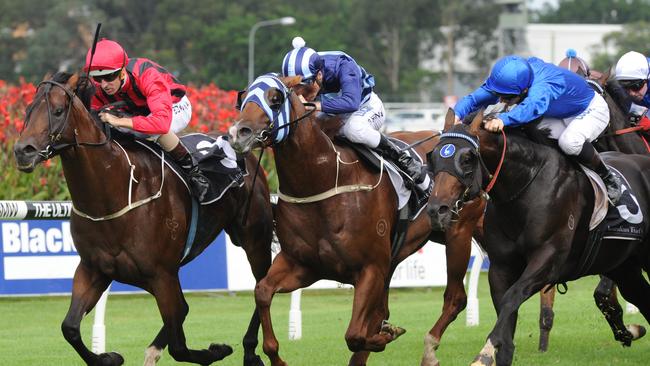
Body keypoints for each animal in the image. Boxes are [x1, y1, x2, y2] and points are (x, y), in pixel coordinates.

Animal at [13, 72, 270, 366]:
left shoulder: (162, 275)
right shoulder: (93, 269)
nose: (23, 150)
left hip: (254, 237)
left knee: (261, 285)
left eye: (57, 111)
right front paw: (109, 357)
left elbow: (179, 346)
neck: (113, 194)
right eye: (27, 110)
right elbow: (70, 328)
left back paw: (250, 350)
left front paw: (217, 350)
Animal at [228, 74, 480, 366]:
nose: (239, 133)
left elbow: (355, 334)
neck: (323, 180)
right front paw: (275, 357)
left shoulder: (370, 268)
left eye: (275, 98)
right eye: (243, 98)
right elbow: (262, 291)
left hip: (458, 232)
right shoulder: (302, 265)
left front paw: (387, 334)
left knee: (456, 297)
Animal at [426, 111, 648, 366]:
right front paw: (501, 351)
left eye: (467, 159)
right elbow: (505, 307)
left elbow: (512, 297)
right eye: (432, 156)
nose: (436, 210)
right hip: (623, 266)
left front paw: (485, 353)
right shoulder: (501, 266)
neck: (525, 188)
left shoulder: (548, 260)